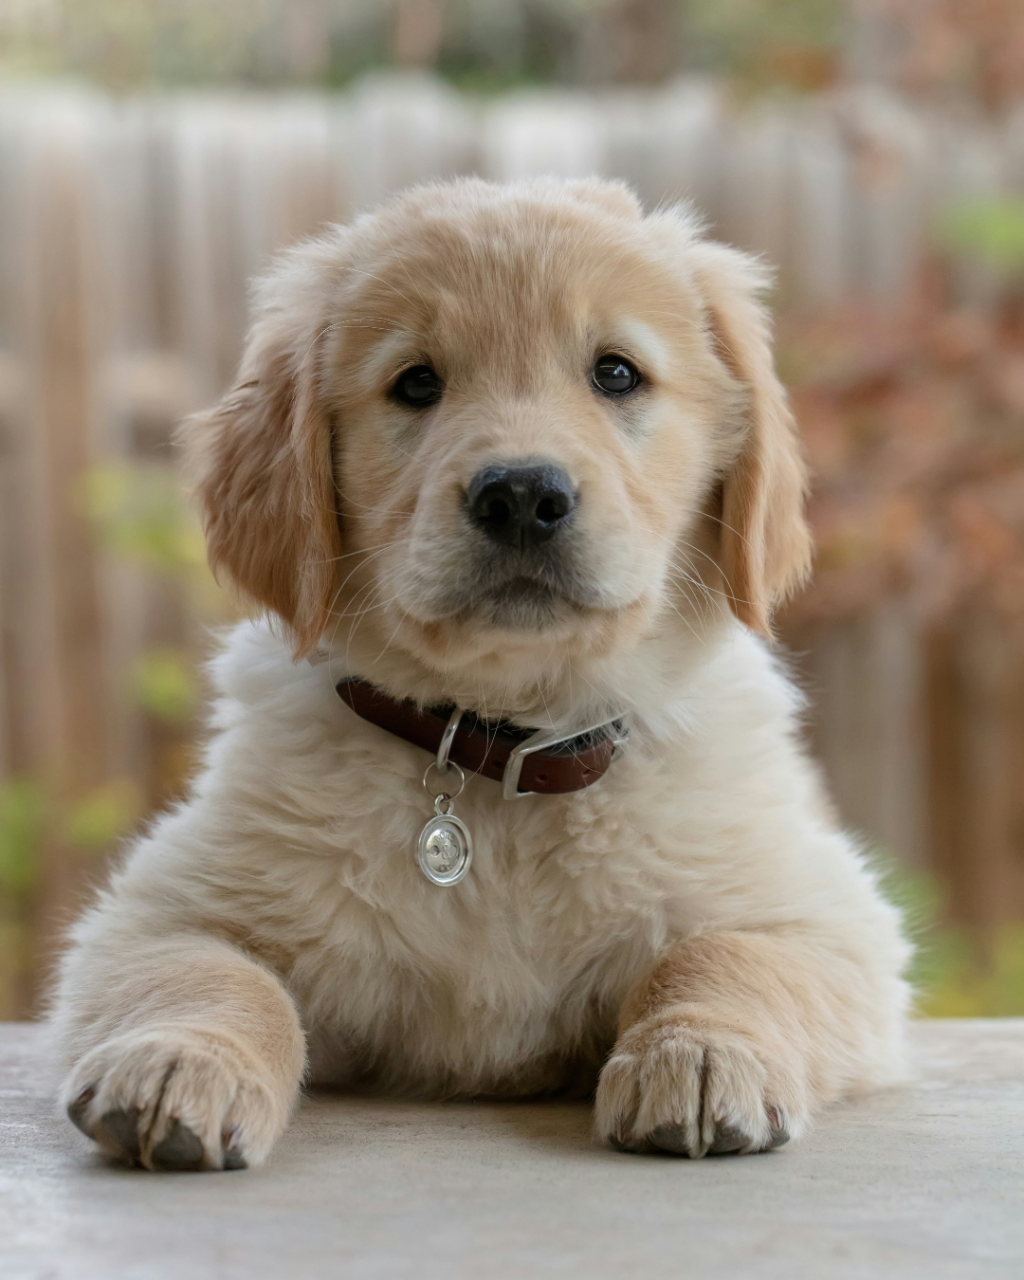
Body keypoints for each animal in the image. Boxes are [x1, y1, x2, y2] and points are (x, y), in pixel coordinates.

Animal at [51, 177, 906, 1172]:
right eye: (416, 383)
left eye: (617, 374)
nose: (523, 496)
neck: (502, 754)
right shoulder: (156, 910)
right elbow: (211, 974)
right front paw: (179, 1059)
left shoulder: (823, 914)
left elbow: (723, 956)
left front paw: (699, 1053)